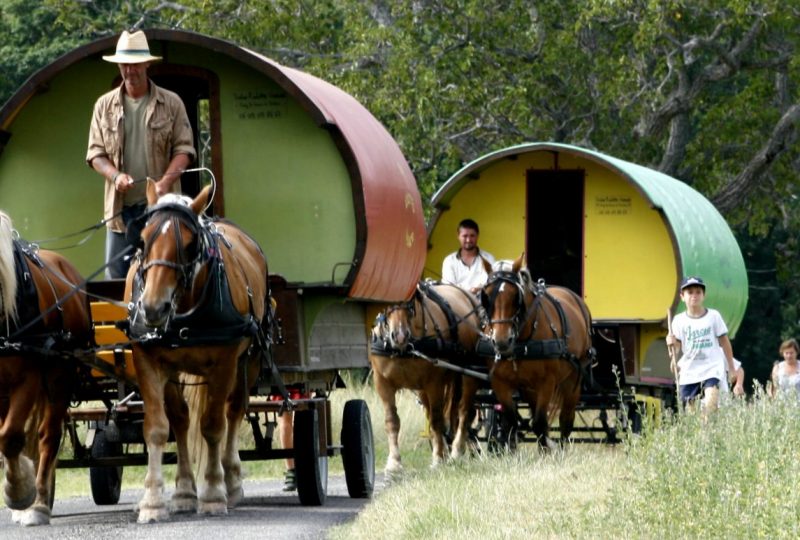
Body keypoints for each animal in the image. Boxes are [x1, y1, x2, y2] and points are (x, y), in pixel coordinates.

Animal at [0, 212, 92, 528]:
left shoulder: (27, 378)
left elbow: (11, 437)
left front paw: (19, 493)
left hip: (60, 376)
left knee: (46, 437)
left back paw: (38, 503)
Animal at [123, 182, 270, 524]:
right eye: (142, 239)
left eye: (190, 246)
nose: (153, 307)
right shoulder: (148, 360)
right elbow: (158, 428)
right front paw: (154, 500)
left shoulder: (224, 363)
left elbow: (213, 427)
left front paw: (214, 493)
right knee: (181, 420)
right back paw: (185, 491)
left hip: (250, 361)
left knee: (233, 412)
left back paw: (231, 482)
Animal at [368, 280, 482, 474]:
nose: (399, 336)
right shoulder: (382, 383)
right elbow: (392, 421)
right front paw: (394, 462)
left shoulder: (434, 383)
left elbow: (437, 420)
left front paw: (438, 458)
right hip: (424, 388)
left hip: (468, 376)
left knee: (463, 411)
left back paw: (456, 450)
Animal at [476, 255, 592, 450]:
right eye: (486, 295)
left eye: (516, 296)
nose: (501, 341)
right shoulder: (500, 383)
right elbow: (512, 423)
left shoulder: (547, 382)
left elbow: (539, 423)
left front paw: (547, 451)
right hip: (529, 388)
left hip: (573, 379)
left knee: (566, 420)